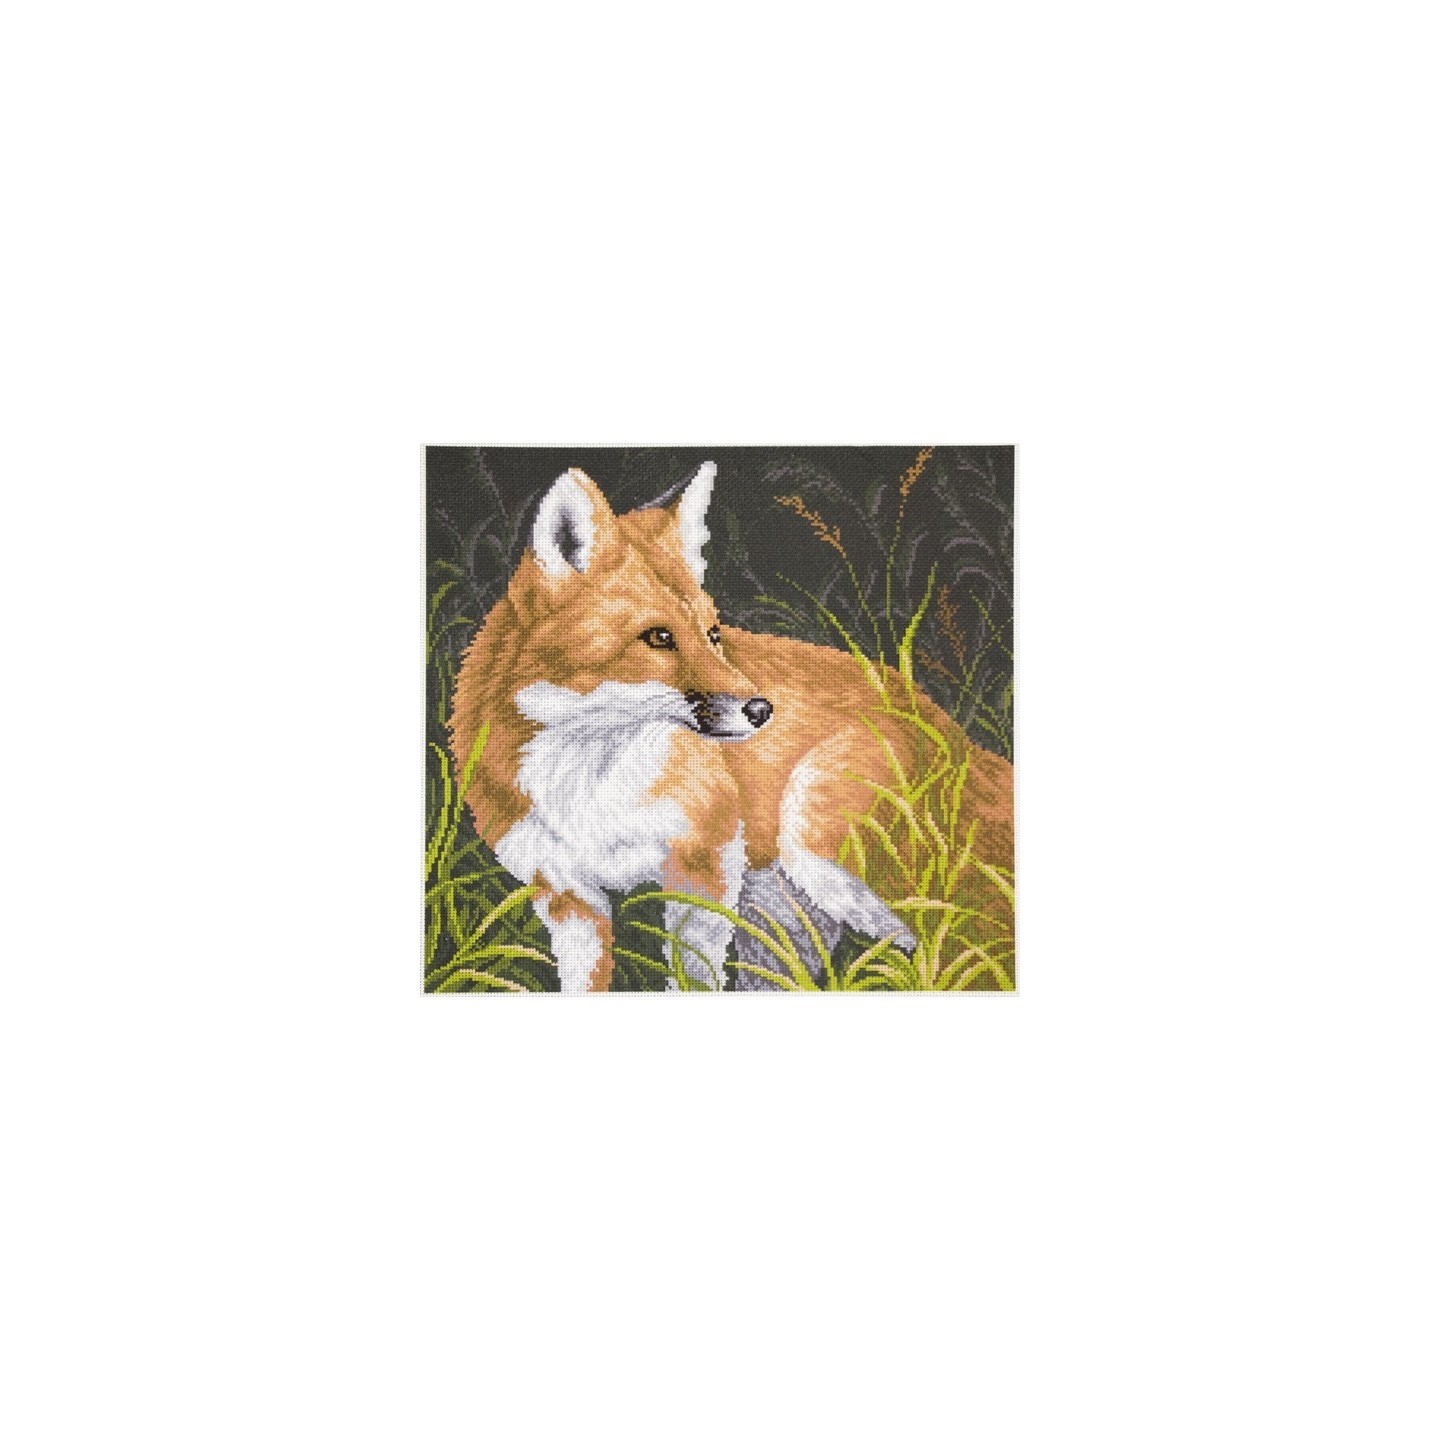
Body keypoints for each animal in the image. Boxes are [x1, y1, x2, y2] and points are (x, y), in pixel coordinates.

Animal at [448, 461, 1013, 992]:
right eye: (658, 637)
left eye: (712, 633)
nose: (762, 710)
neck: (590, 788)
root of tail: (951, 729)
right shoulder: (567, 895)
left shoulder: (706, 862)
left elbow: (691, 976)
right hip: (786, 921)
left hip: (830, 858)